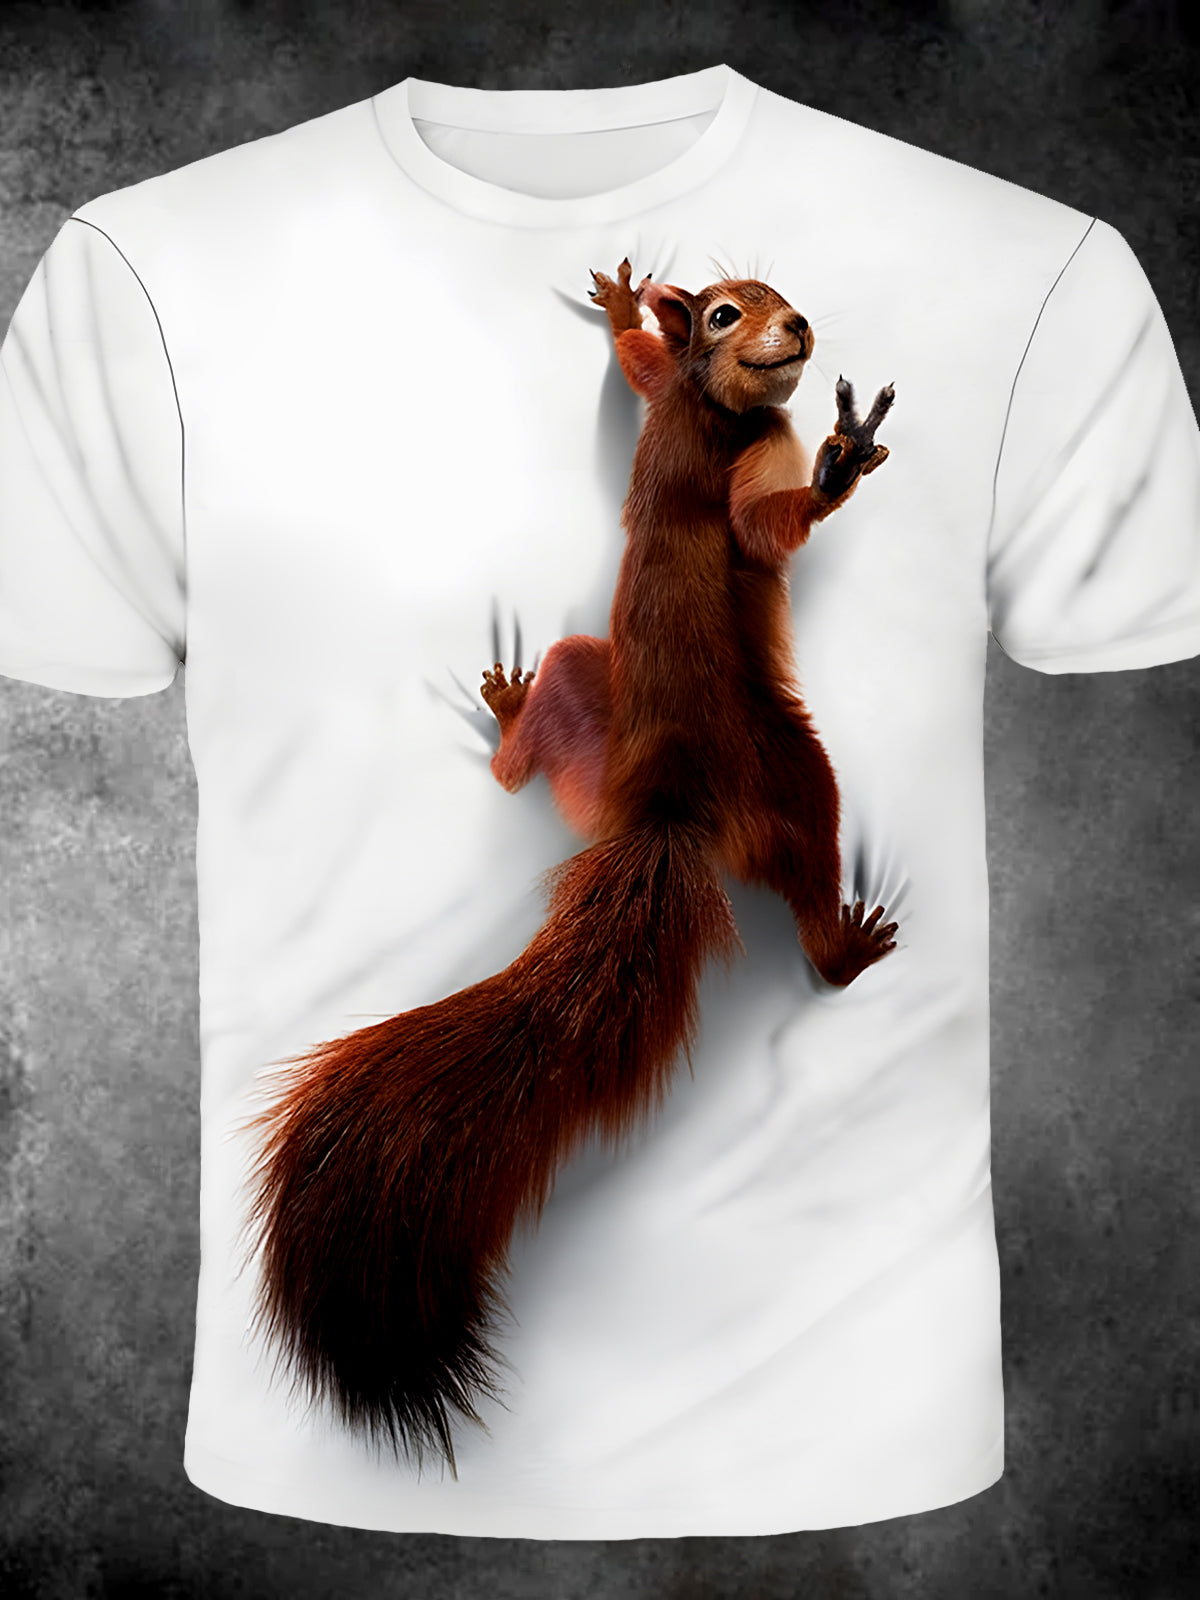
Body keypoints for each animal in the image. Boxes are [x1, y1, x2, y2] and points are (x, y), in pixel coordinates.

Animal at [234, 256, 898, 1481]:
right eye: (727, 311)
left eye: (773, 290)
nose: (796, 327)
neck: (714, 405)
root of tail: (666, 811)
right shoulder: (745, 461)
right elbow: (765, 528)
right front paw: (835, 465)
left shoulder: (668, 401)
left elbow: (635, 371)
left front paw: (625, 308)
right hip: (792, 771)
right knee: (812, 882)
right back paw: (843, 942)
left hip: (590, 689)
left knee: (526, 765)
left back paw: (509, 718)